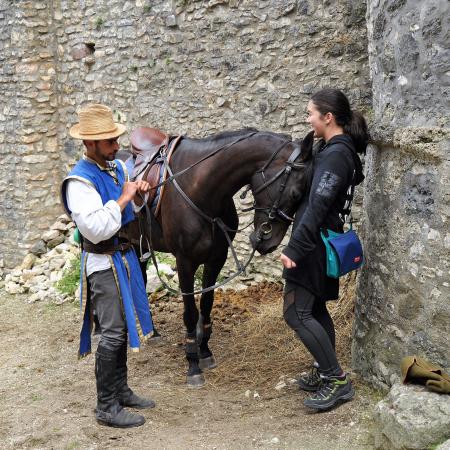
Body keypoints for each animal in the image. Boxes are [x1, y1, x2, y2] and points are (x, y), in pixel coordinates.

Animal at [125, 127, 312, 386]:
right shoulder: (185, 262)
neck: (200, 187)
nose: (269, 241)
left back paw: (152, 332)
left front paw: (204, 352)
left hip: (137, 244)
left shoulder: (216, 259)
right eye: (295, 193)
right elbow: (190, 312)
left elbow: (206, 304)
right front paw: (192, 363)